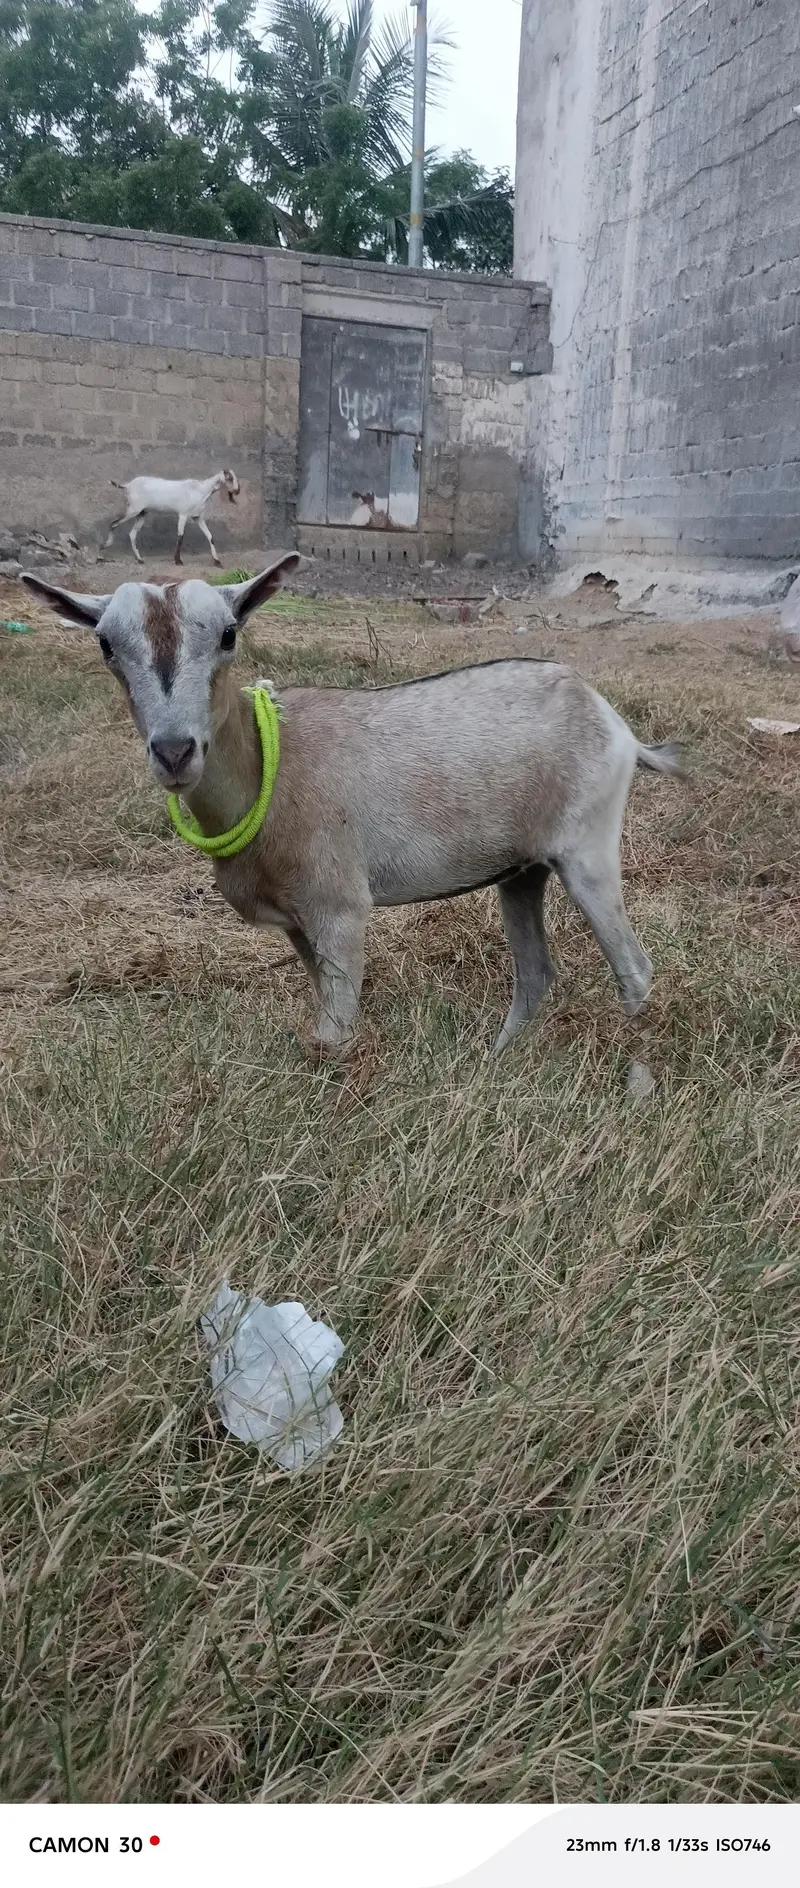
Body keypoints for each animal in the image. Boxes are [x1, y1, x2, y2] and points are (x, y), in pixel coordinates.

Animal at [22, 557, 686, 1055]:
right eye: (105, 644)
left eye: (229, 634)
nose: (174, 751)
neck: (269, 768)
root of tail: (617, 727)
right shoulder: (296, 923)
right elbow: (324, 1020)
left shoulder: (338, 906)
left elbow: (336, 1035)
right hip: (521, 870)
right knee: (536, 974)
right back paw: (497, 1061)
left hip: (588, 848)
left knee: (634, 969)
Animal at [105, 469, 240, 567]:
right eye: (229, 478)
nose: (237, 490)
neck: (201, 490)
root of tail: (127, 485)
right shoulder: (183, 514)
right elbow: (180, 538)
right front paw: (178, 561)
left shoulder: (198, 517)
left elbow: (210, 537)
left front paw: (217, 561)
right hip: (133, 510)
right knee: (114, 523)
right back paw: (105, 547)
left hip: (141, 513)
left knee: (132, 534)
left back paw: (139, 559)